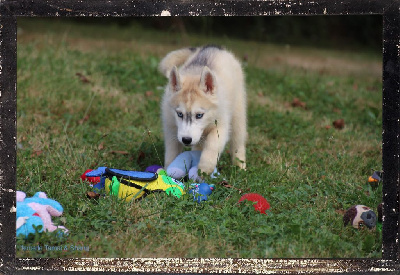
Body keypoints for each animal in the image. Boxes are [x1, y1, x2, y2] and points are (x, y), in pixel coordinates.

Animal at [159, 44, 247, 176]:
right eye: (179, 114)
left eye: (199, 115)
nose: (186, 140)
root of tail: (213, 46)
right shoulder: (171, 128)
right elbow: (172, 152)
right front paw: (167, 172)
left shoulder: (220, 126)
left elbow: (213, 145)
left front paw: (204, 169)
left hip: (238, 114)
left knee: (238, 141)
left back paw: (240, 166)